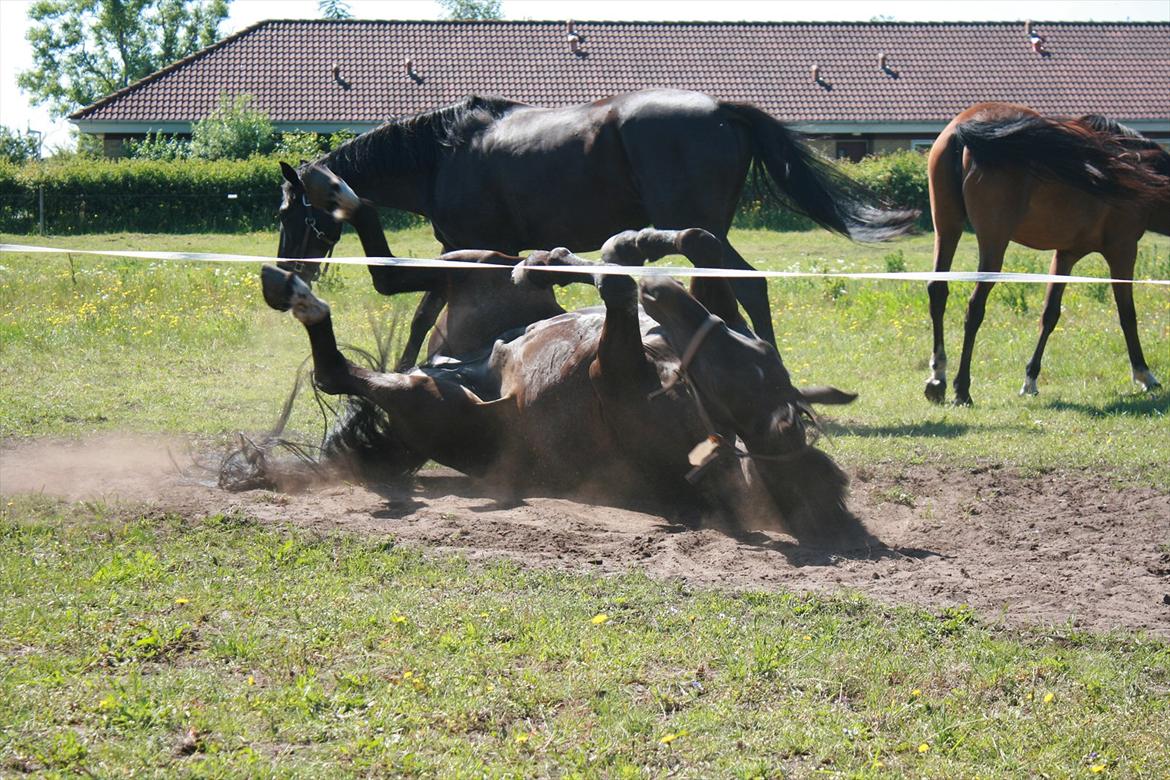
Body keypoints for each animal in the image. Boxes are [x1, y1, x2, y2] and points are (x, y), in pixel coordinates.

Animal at [258, 166, 861, 542]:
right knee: (399, 275)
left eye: (741, 380)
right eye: (751, 360)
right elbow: (694, 241)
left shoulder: (612, 366)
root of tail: (450, 368)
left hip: (431, 396)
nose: (663, 297)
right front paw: (620, 248)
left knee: (340, 364)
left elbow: (623, 281)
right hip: (477, 265)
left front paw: (607, 258)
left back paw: (299, 290)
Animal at [271, 88, 912, 369]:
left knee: (749, 285)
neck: (443, 156)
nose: (284, 279)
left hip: (700, 230)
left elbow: (430, 313)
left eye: (286, 214)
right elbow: (426, 315)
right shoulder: (468, 251)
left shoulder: (469, 247)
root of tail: (722, 109)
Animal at [926, 101, 1165, 406]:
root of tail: (965, 129)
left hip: (947, 229)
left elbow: (1050, 314)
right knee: (974, 307)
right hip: (993, 244)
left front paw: (1030, 380)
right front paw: (1145, 374)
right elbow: (1127, 315)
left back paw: (938, 378)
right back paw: (962, 389)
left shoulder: (1065, 255)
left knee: (938, 291)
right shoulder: (1122, 250)